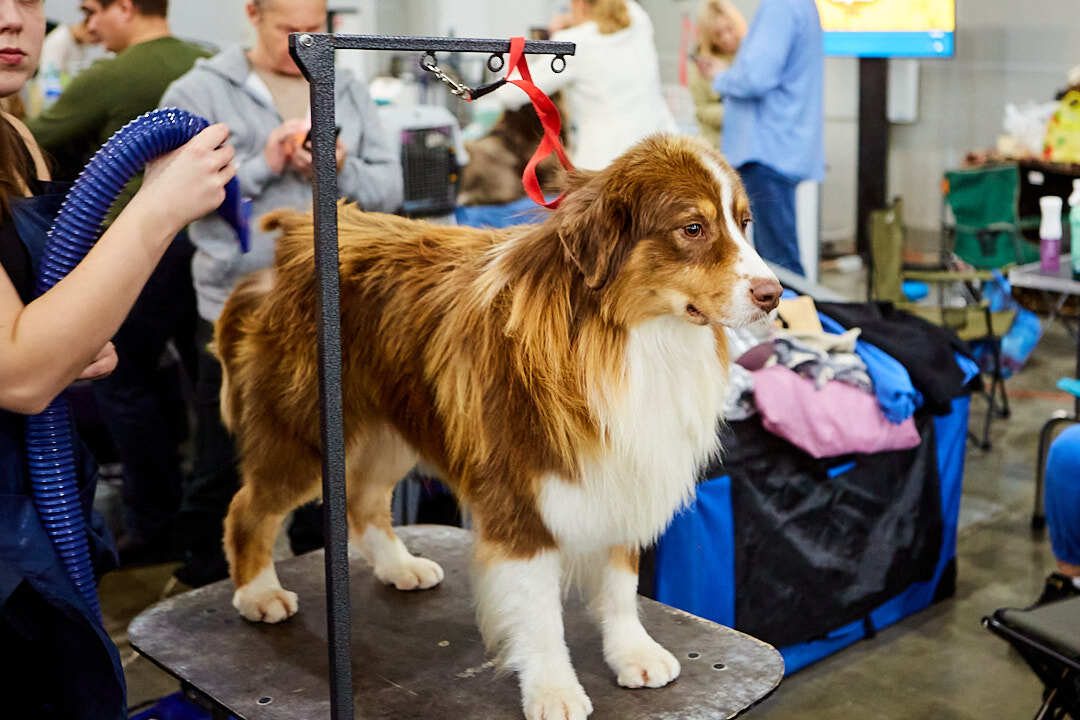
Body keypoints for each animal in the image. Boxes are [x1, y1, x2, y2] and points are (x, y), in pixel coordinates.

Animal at [214, 132, 781, 716]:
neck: (621, 334)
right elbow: (538, 609)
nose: (774, 294)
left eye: (744, 222)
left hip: (389, 430)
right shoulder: (519, 493)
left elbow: (621, 582)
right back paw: (258, 593)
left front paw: (633, 653)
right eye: (692, 228)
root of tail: (291, 245)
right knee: (248, 508)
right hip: (305, 432)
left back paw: (399, 566)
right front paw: (554, 689)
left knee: (364, 500)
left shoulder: (622, 469)